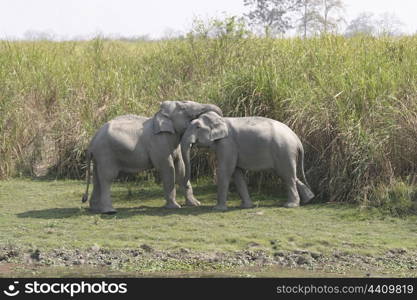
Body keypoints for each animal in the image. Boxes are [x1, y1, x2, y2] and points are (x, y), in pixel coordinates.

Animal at [82, 101, 223, 213]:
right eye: (183, 108)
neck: (160, 116)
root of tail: (91, 142)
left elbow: (180, 167)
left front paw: (195, 204)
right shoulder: (159, 143)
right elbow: (168, 168)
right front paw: (175, 207)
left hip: (99, 157)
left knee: (97, 178)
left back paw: (95, 209)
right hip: (106, 153)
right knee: (107, 178)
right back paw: (109, 211)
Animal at [180, 111, 314, 210]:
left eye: (197, 127)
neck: (221, 119)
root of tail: (297, 139)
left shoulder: (227, 144)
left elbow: (225, 171)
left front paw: (217, 209)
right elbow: (237, 173)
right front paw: (246, 206)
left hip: (284, 150)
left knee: (287, 175)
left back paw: (290, 205)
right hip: (286, 153)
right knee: (290, 175)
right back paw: (309, 199)